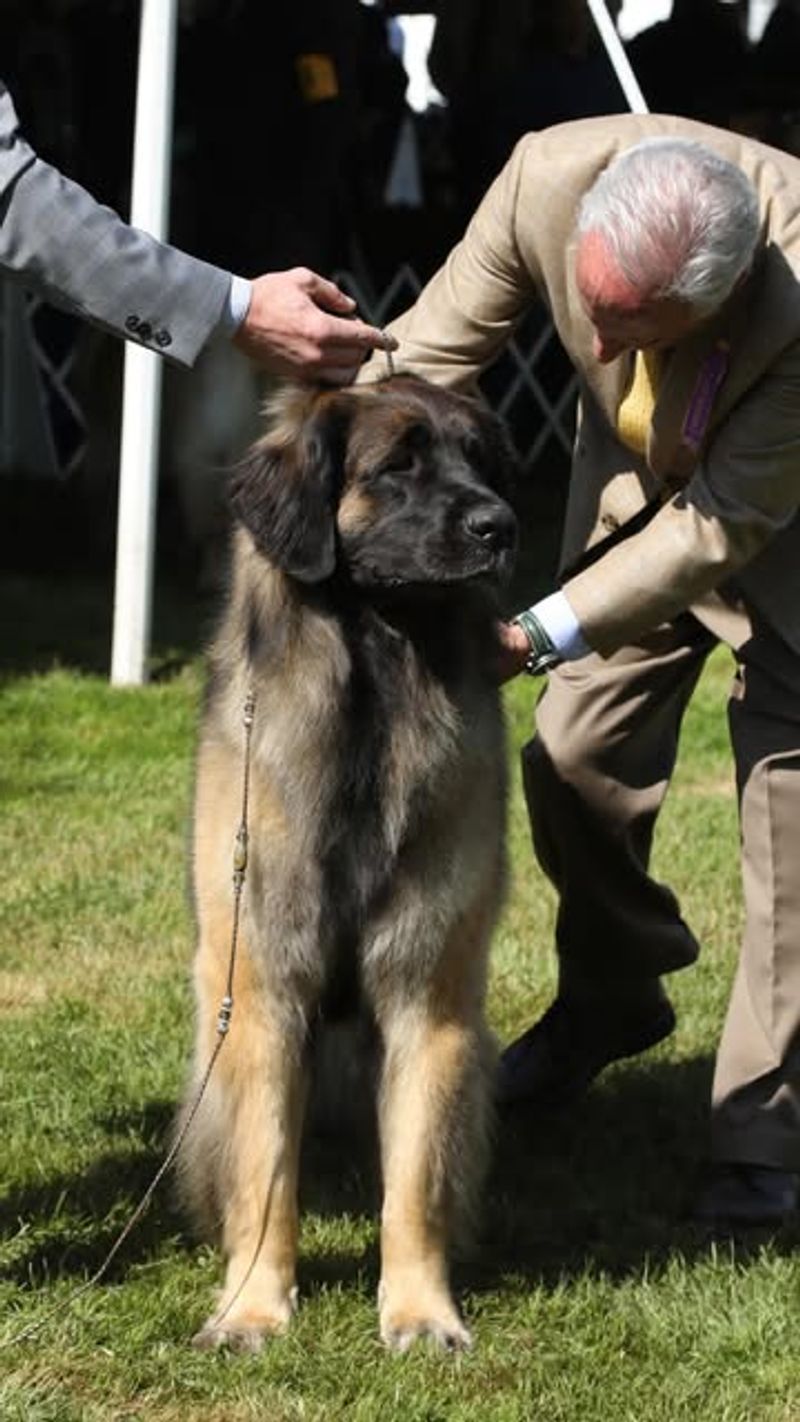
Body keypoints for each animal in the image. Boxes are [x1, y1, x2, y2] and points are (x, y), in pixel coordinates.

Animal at [179, 372, 520, 1348]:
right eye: (397, 466)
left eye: (480, 459)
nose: (502, 525)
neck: (374, 687)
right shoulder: (259, 991)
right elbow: (265, 1175)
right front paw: (252, 1307)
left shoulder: (429, 994)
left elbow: (415, 1178)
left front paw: (420, 1311)